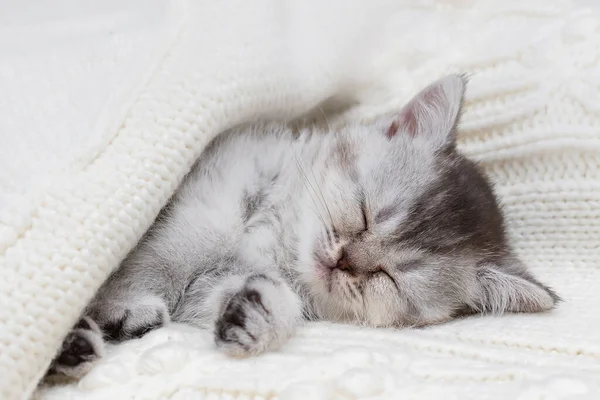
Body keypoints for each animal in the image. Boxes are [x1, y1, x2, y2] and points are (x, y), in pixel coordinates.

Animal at [47, 75, 556, 378]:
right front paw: (126, 302)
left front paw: (259, 316)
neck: (277, 242)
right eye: (365, 213)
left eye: (389, 277)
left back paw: (74, 349)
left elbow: (239, 295)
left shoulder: (218, 282)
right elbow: (169, 256)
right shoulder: (204, 199)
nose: (344, 261)